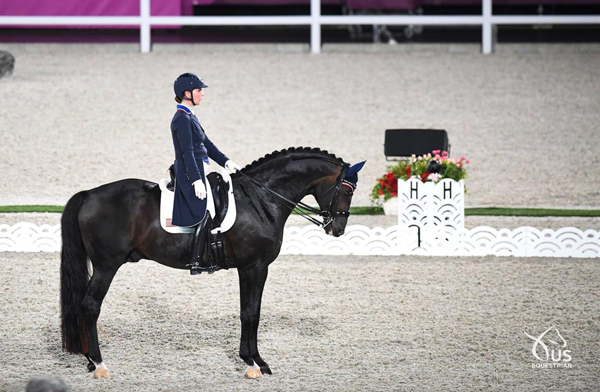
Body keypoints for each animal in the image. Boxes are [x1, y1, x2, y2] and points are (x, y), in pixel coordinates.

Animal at [61, 147, 364, 380]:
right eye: (347, 191)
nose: (337, 229)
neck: (261, 200)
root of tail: (89, 194)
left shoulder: (254, 268)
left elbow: (251, 311)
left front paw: (255, 360)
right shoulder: (254, 266)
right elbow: (250, 313)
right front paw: (253, 363)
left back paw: (89, 360)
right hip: (106, 266)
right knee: (90, 306)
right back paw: (99, 364)